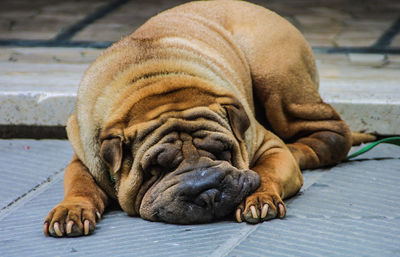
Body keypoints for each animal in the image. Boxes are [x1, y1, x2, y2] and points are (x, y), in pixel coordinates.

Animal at [43, 0, 372, 236]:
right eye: (155, 169)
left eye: (223, 151)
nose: (207, 189)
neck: (156, 86)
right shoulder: (85, 157)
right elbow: (80, 186)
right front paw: (70, 212)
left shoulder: (268, 148)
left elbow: (265, 172)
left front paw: (259, 199)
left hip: (274, 75)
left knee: (330, 133)